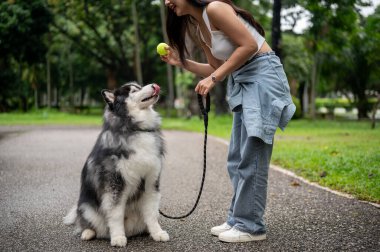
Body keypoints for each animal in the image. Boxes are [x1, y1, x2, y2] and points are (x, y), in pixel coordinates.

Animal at [63, 82, 169, 246]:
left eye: (139, 86)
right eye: (134, 90)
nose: (155, 85)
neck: (136, 129)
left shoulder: (151, 181)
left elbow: (151, 213)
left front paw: (157, 233)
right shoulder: (114, 185)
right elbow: (116, 213)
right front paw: (118, 237)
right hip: (86, 207)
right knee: (86, 223)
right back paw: (88, 232)